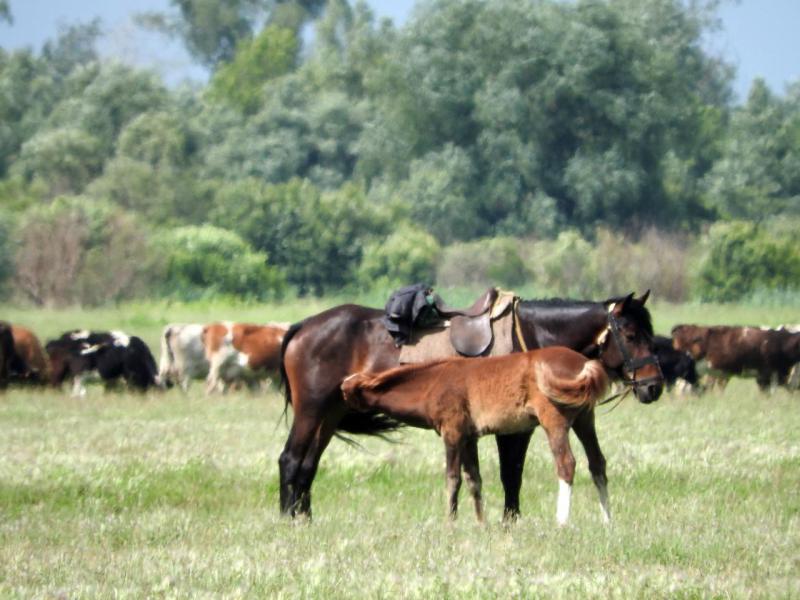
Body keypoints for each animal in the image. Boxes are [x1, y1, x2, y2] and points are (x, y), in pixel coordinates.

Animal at [340, 346, 608, 524]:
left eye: (345, 394)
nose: (345, 421)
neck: (435, 381)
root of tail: (584, 364)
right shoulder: (470, 438)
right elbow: (474, 480)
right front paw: (481, 523)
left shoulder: (452, 433)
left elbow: (453, 479)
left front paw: (450, 523)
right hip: (585, 421)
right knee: (597, 464)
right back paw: (608, 522)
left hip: (554, 421)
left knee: (566, 464)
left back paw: (561, 522)